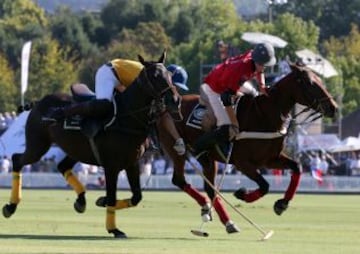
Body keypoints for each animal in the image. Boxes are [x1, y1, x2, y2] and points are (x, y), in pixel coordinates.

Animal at [1, 52, 181, 238]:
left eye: (170, 75)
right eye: (155, 76)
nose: (175, 100)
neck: (128, 117)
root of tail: (38, 102)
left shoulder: (132, 163)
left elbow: (136, 196)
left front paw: (101, 201)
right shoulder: (111, 166)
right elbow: (112, 196)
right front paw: (114, 229)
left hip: (74, 149)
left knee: (62, 166)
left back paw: (81, 200)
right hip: (38, 145)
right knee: (17, 159)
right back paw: (11, 206)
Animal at [158, 63, 338, 232]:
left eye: (320, 80)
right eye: (310, 83)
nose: (334, 108)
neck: (264, 116)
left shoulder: (270, 159)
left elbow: (297, 167)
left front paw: (282, 204)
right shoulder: (243, 163)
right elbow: (265, 185)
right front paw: (242, 194)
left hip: (208, 159)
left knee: (209, 187)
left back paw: (224, 221)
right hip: (176, 149)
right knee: (180, 179)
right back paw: (213, 212)